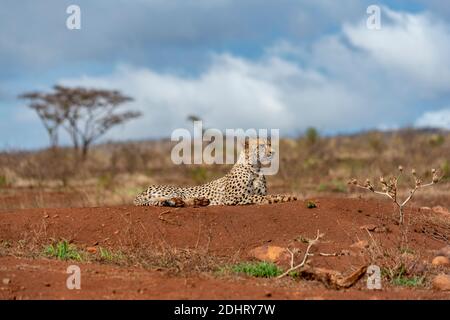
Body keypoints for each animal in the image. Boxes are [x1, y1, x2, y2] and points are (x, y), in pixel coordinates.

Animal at [132, 138, 298, 208]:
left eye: (269, 144)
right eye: (262, 145)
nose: (272, 152)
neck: (255, 167)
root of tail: (143, 190)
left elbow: (267, 194)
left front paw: (287, 196)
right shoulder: (231, 198)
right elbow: (256, 197)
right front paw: (278, 198)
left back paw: (199, 201)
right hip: (175, 190)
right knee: (162, 199)